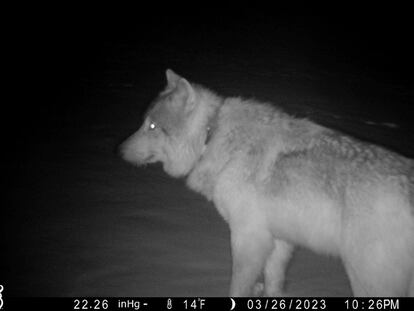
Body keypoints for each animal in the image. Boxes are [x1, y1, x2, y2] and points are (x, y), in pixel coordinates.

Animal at [119, 69, 414, 298]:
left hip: (365, 279)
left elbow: (237, 288)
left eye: (153, 127)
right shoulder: (279, 241)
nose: (118, 150)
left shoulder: (249, 238)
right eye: (145, 123)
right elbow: (273, 283)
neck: (211, 137)